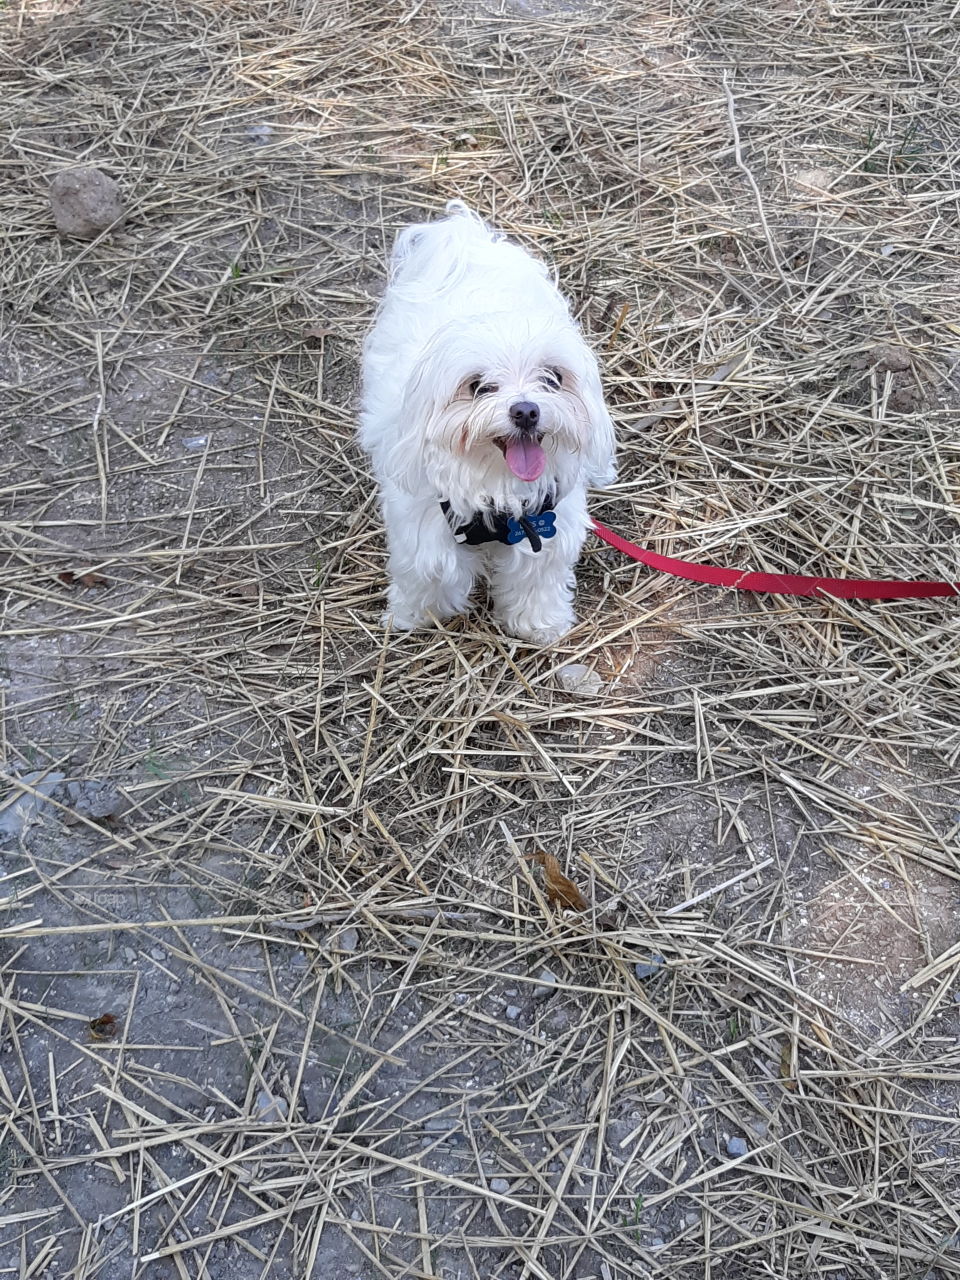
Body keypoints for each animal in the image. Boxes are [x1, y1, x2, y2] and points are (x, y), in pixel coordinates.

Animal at [358, 200, 616, 645]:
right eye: (478, 386)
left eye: (553, 378)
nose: (526, 410)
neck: (499, 487)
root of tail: (465, 238)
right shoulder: (423, 526)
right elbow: (427, 574)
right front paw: (413, 615)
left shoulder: (547, 527)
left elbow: (536, 579)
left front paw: (540, 623)